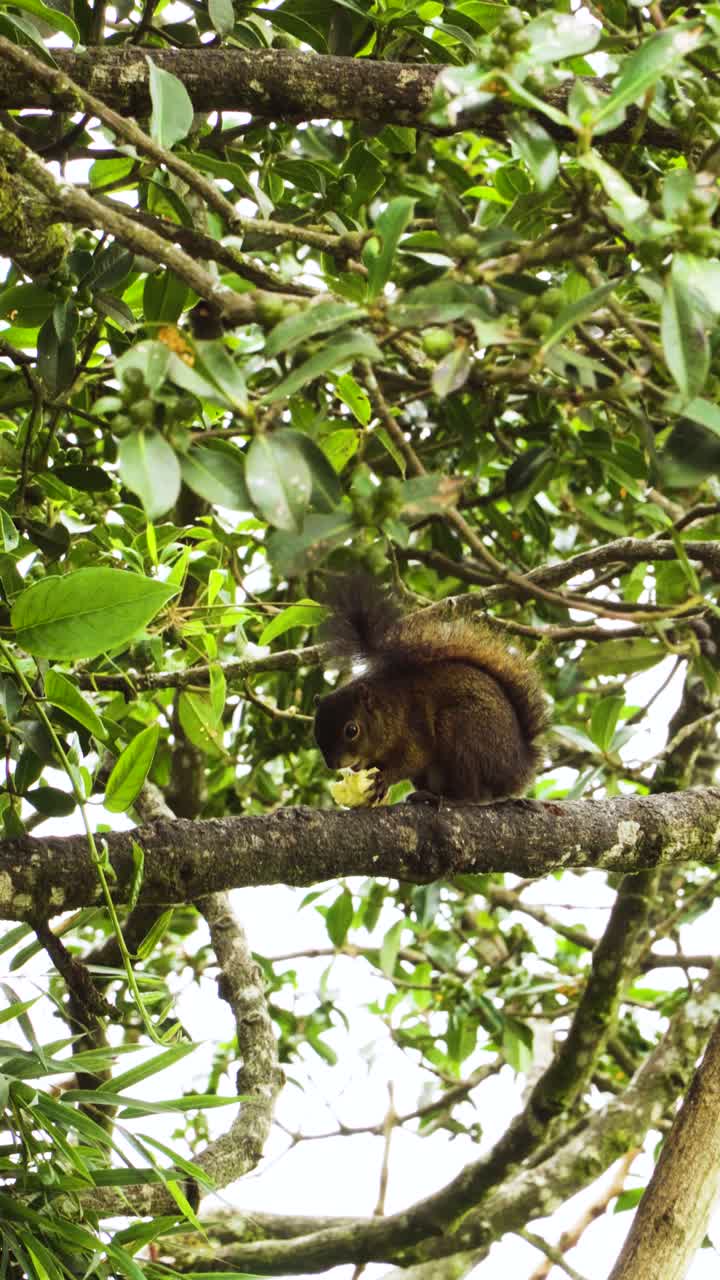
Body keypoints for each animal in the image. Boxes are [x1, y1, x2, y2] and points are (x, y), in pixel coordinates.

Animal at [313, 576, 548, 804]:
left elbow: (416, 758)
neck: (389, 707)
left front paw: (385, 779)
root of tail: (516, 770)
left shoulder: (414, 727)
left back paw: (447, 798)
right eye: (316, 731)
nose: (333, 764)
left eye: (352, 730)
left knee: (472, 796)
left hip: (462, 731)